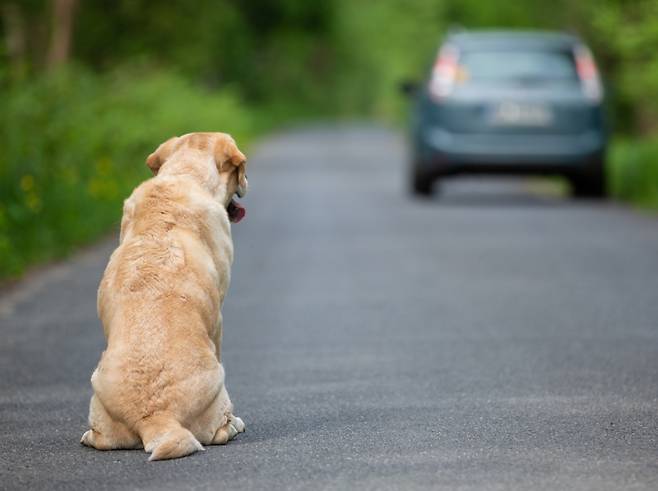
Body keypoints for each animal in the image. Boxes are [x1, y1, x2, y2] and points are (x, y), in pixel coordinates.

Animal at [80, 132, 249, 462]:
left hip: (97, 390)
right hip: (217, 384)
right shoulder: (219, 318)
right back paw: (234, 424)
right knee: (220, 430)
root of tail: (157, 417)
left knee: (100, 438)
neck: (184, 175)